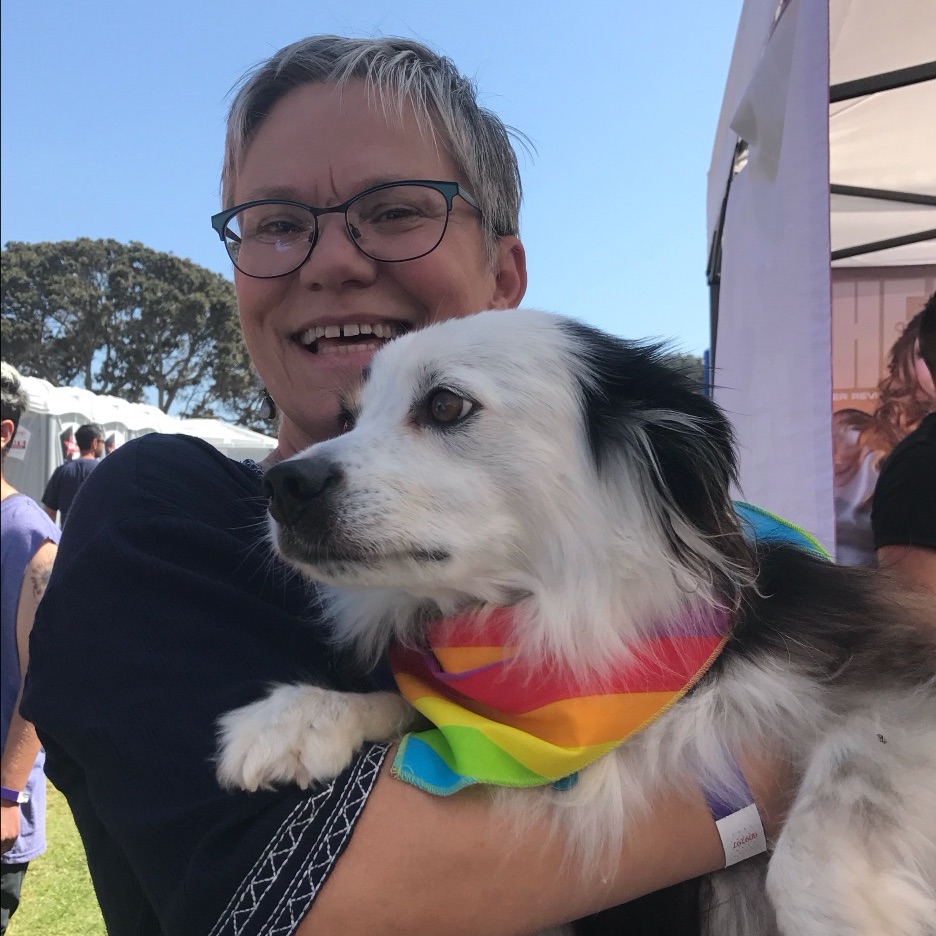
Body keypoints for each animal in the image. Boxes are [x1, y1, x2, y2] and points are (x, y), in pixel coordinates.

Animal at [216, 308, 932, 936]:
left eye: (445, 405)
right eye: (347, 417)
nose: (282, 486)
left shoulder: (895, 665)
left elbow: (816, 841)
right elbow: (419, 705)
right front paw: (301, 717)